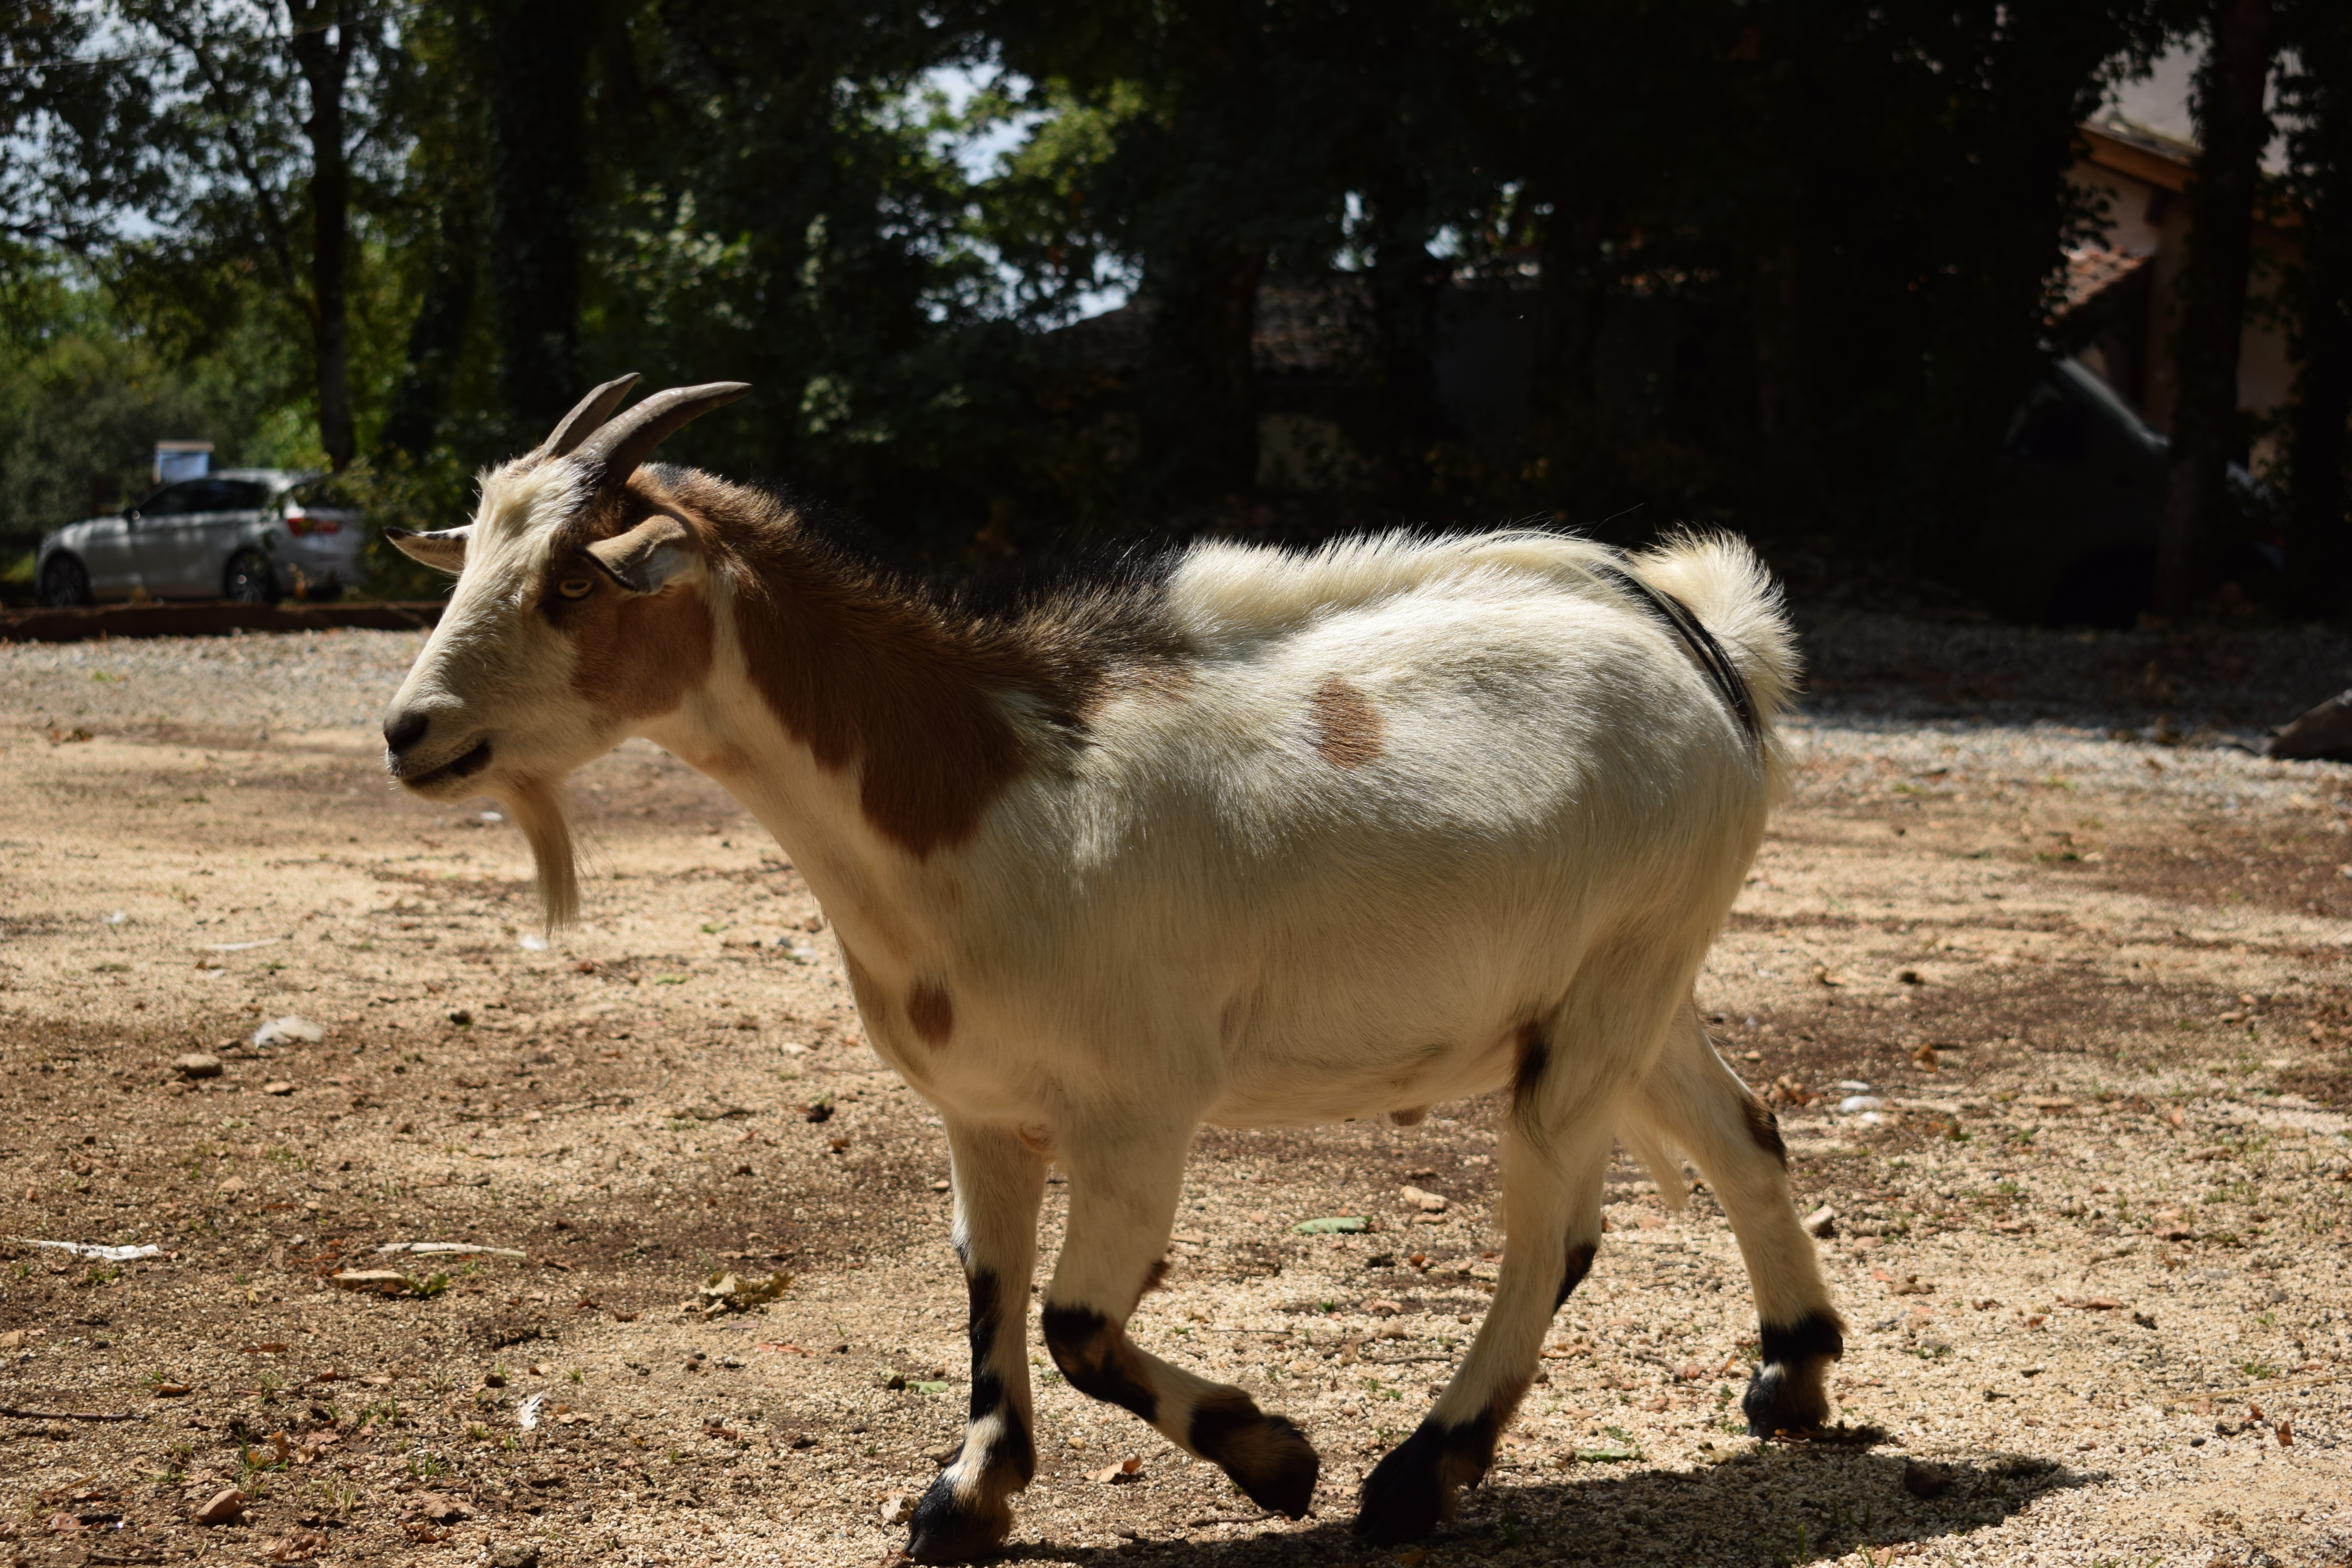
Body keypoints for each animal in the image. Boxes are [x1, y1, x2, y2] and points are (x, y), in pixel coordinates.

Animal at [381, 376, 1844, 1559]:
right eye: (474, 562)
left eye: (572, 582)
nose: (411, 730)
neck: (975, 796)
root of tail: (1708, 647)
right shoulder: (980, 1105)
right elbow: (986, 1282)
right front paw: (966, 1499)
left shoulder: (1141, 1110)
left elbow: (1078, 1321)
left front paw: (1275, 1460)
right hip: (1625, 983)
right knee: (1743, 1133)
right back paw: (1794, 1371)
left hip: (1612, 985)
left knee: (1555, 1226)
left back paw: (1414, 1480)